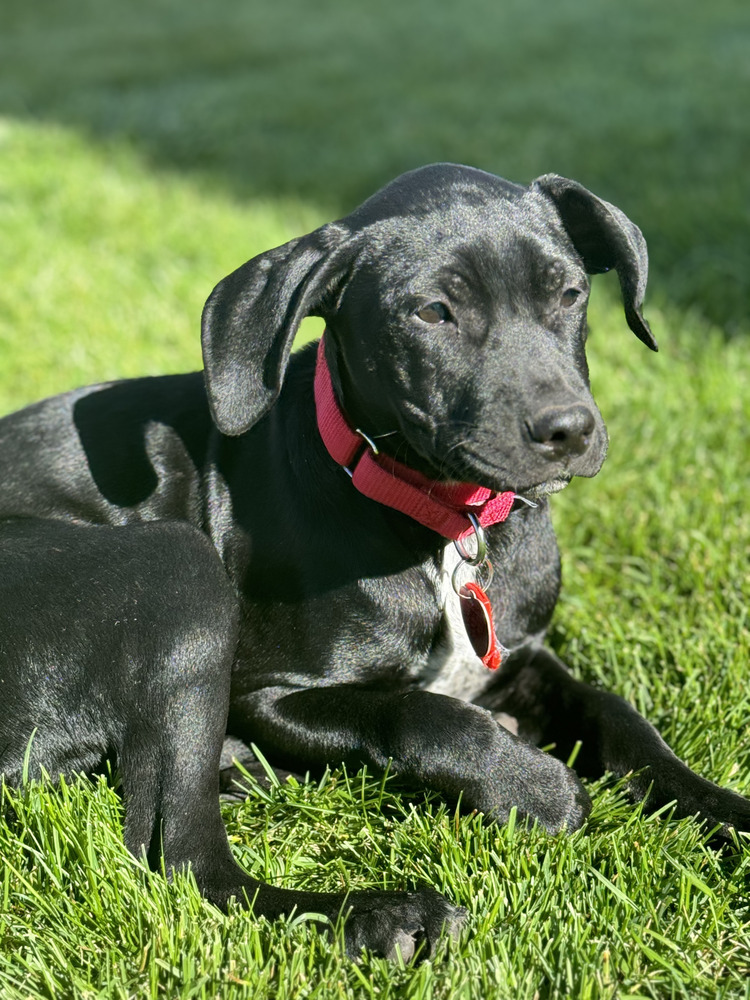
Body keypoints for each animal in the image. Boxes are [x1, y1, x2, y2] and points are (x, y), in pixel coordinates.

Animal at [0, 166, 748, 960]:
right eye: (433, 312)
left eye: (571, 293)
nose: (569, 430)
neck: (442, 526)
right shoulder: (265, 691)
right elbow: (417, 712)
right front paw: (535, 788)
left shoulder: (521, 657)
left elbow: (621, 719)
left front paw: (724, 810)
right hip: (180, 565)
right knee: (183, 858)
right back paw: (387, 915)